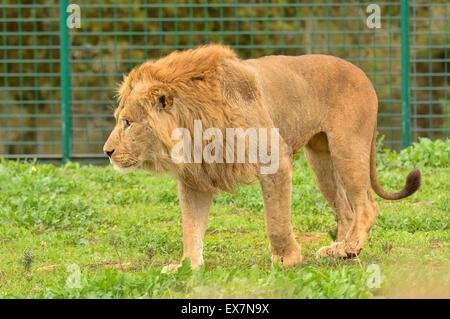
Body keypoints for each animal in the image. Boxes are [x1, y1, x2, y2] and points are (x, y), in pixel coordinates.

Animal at [103, 44, 420, 270]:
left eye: (128, 122)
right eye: (119, 119)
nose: (107, 151)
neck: (193, 121)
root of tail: (362, 73)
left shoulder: (274, 157)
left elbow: (276, 219)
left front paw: (287, 258)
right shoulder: (196, 179)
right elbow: (190, 226)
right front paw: (187, 265)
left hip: (347, 147)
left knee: (366, 205)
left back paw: (350, 247)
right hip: (321, 158)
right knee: (346, 209)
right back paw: (339, 251)